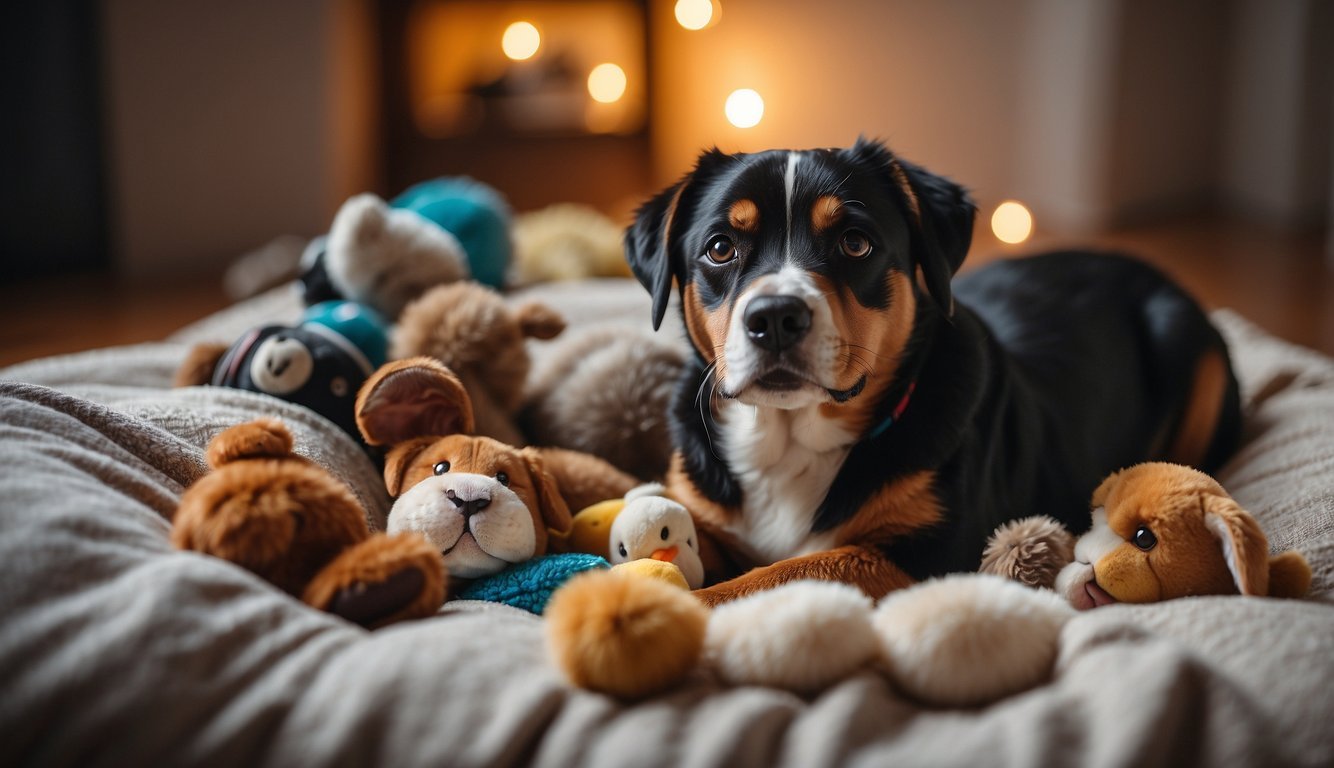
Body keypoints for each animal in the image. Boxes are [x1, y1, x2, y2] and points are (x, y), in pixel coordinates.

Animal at [624, 138, 1237, 605]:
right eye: (720, 247)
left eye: (854, 242)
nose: (775, 317)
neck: (792, 441)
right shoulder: (705, 508)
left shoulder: (929, 552)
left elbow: (785, 573)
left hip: (1190, 349)